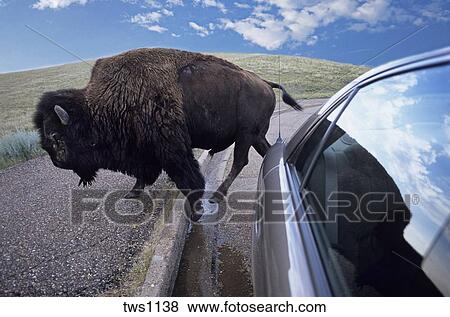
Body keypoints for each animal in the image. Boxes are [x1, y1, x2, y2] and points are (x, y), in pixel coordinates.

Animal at [34, 48, 302, 220]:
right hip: (255, 136)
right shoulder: (144, 150)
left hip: (245, 136)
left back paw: (217, 196)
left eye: (57, 137)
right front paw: (133, 191)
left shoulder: (170, 146)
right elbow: (143, 173)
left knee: (240, 160)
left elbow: (186, 174)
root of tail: (265, 82)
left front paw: (196, 210)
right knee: (265, 152)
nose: (57, 162)